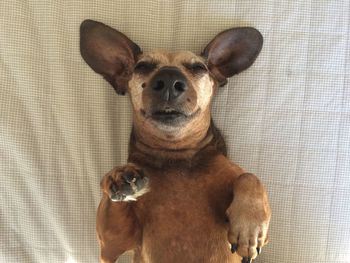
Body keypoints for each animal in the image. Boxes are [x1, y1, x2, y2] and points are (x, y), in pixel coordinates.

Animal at [80, 19, 272, 263]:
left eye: (198, 68)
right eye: (142, 66)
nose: (169, 80)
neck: (176, 156)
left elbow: (249, 176)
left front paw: (249, 229)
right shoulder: (111, 245)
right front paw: (118, 177)